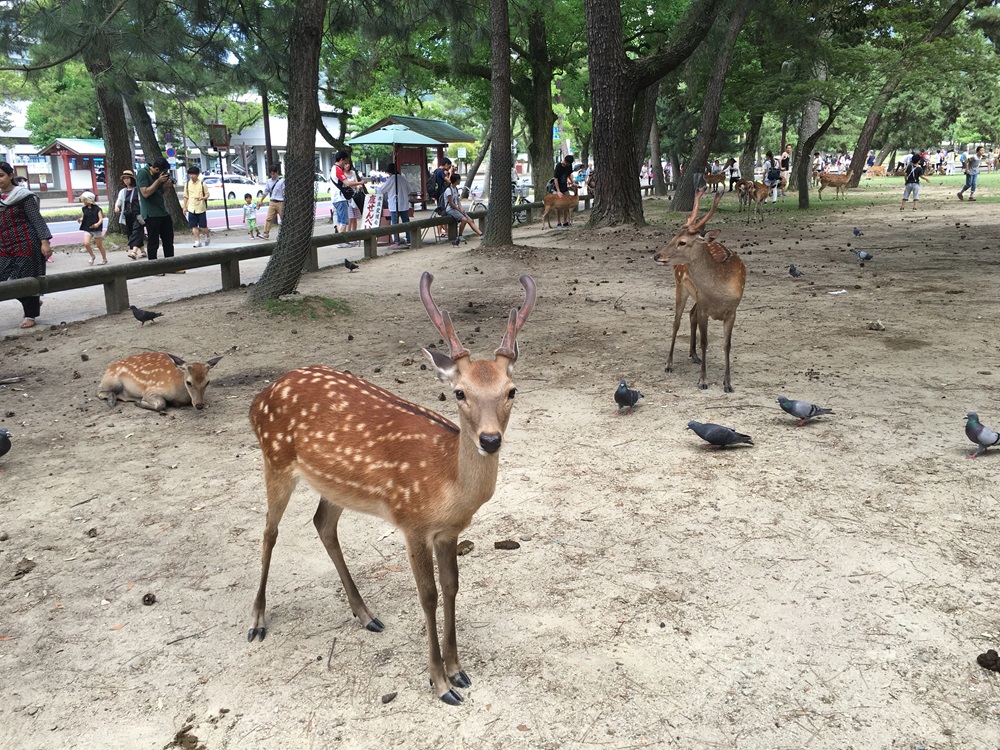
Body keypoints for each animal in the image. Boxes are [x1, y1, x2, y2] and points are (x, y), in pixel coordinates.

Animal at [246, 274, 536, 708]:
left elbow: (452, 587)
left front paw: (459, 669)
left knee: (322, 523)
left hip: (334, 486)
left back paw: (366, 615)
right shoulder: (411, 520)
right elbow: (428, 594)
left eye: (512, 390)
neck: (444, 481)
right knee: (269, 530)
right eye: (460, 392)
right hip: (275, 459)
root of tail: (257, 400)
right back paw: (258, 621)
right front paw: (441, 683)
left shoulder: (448, 532)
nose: (489, 440)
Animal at [652, 189, 748, 394]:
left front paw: (728, 383)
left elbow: (727, 345)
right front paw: (703, 380)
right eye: (673, 237)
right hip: (681, 285)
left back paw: (693, 355)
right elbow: (705, 341)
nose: (657, 255)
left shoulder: (732, 311)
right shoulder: (705, 307)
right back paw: (669, 363)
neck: (720, 292)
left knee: (691, 314)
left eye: (682, 242)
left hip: (695, 295)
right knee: (676, 322)